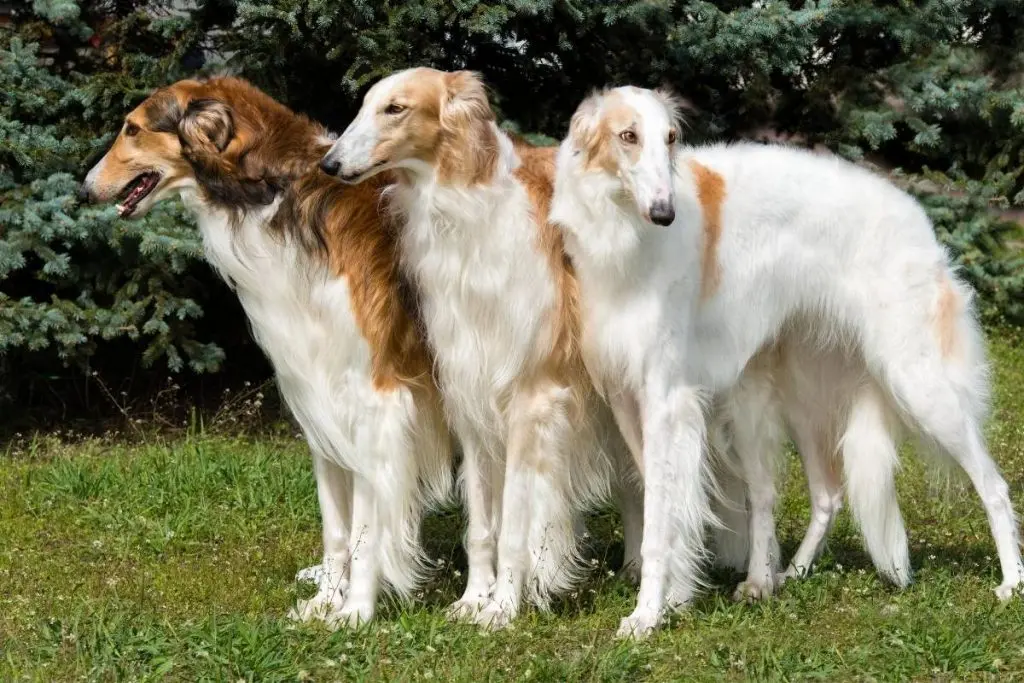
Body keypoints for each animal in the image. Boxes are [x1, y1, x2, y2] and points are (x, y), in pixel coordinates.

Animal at [78, 77, 448, 626]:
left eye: (133, 128)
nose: (84, 189)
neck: (281, 195)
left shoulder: (374, 402)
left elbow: (365, 530)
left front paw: (355, 613)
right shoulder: (317, 396)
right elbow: (336, 528)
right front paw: (325, 601)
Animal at [317, 66, 630, 626]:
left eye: (395, 108)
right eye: (365, 103)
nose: (329, 163)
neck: (471, 214)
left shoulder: (531, 399)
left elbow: (516, 529)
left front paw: (503, 607)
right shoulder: (470, 397)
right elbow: (483, 523)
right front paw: (473, 598)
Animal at [552, 85, 1024, 634]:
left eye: (670, 138)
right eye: (627, 135)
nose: (664, 213)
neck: (624, 230)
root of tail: (918, 220)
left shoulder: (666, 398)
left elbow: (660, 523)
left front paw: (647, 614)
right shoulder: (628, 399)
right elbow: (664, 508)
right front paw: (674, 597)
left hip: (917, 381)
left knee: (993, 485)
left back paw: (1011, 582)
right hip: (799, 398)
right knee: (825, 495)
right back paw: (783, 575)